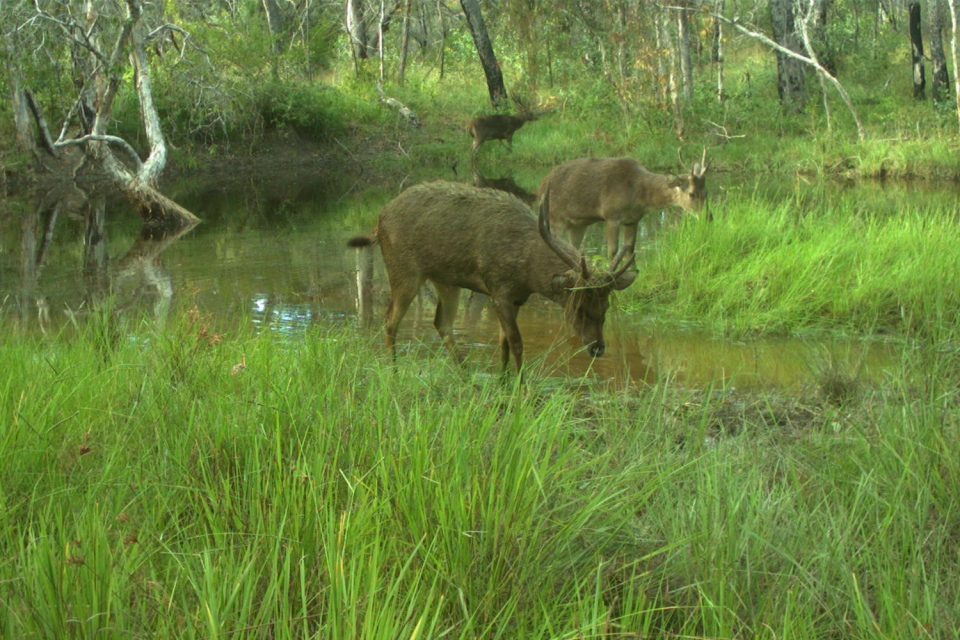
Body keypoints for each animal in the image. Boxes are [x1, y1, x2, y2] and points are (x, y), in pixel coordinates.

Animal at [344, 180, 636, 372]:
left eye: (605, 308)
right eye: (577, 308)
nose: (597, 348)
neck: (527, 271)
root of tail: (379, 220)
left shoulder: (516, 297)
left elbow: (503, 342)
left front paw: (502, 381)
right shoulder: (499, 287)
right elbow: (516, 342)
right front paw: (520, 386)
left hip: (446, 280)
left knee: (442, 323)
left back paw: (464, 373)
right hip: (403, 269)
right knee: (390, 320)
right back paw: (392, 370)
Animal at [536, 149, 708, 262]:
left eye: (706, 192)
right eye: (692, 193)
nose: (708, 217)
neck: (638, 195)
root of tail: (541, 186)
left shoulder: (633, 220)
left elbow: (630, 251)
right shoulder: (611, 216)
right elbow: (612, 252)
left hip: (578, 224)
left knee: (574, 249)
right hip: (554, 216)